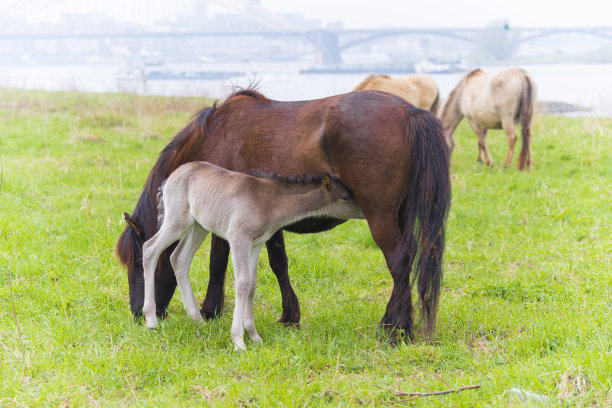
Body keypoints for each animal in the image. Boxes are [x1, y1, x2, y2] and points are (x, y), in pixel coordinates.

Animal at [141, 161, 356, 350]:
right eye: (345, 197)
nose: (361, 207)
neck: (266, 200)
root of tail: (170, 177)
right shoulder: (238, 237)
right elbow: (243, 283)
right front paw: (238, 340)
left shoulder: (256, 243)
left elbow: (252, 285)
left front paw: (254, 336)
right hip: (178, 221)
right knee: (149, 249)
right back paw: (151, 319)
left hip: (199, 226)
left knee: (179, 258)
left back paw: (198, 321)